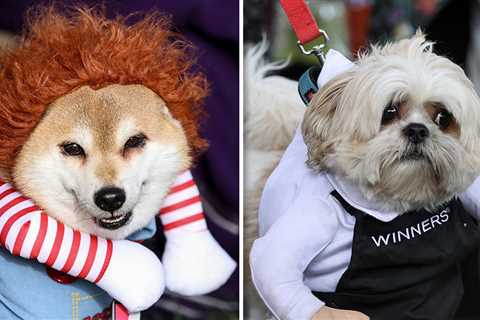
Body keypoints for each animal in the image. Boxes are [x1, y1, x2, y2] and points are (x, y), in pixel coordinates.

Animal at [249, 33, 480, 320]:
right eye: (390, 111)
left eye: (443, 117)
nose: (417, 130)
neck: (390, 206)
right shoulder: (316, 213)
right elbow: (272, 265)